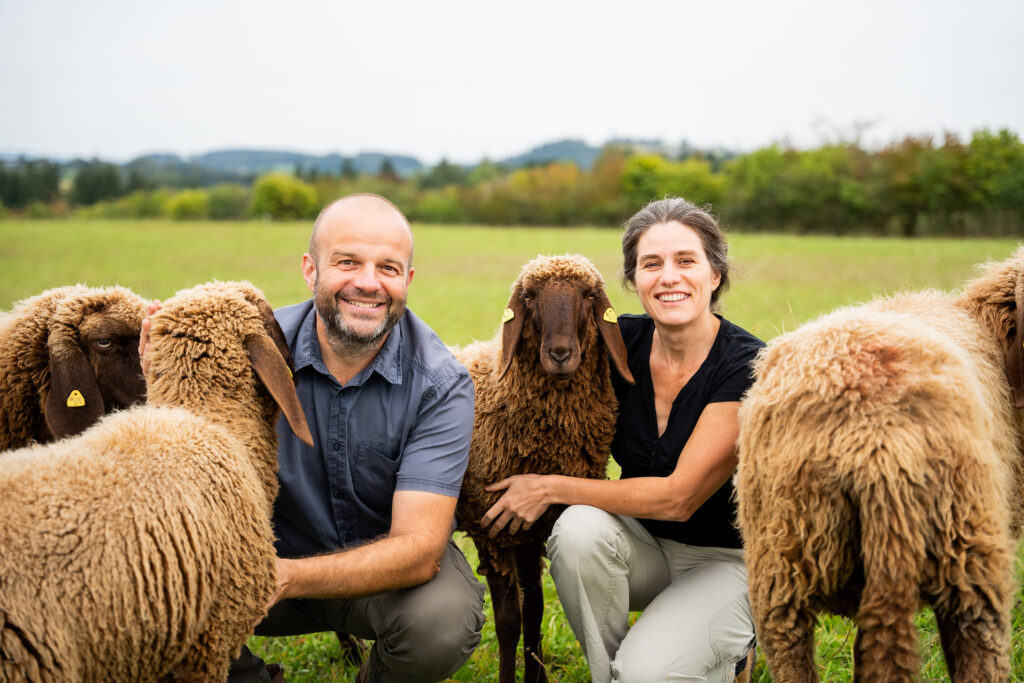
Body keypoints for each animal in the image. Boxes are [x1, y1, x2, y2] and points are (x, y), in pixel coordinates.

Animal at [454, 254, 634, 683]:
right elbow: (508, 622)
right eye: (530, 297)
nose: (561, 354)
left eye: (589, 296)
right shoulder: (492, 532)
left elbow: (533, 613)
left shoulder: (533, 529)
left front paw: (536, 676)